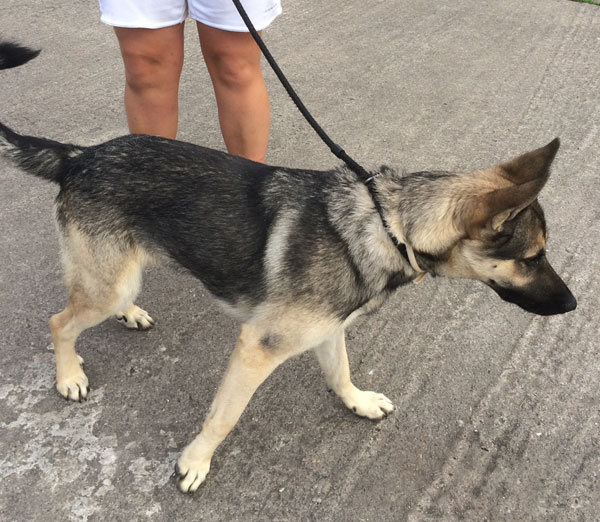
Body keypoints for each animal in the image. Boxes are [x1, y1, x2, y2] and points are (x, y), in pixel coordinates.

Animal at [2, 42, 580, 490]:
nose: (574, 304)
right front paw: (195, 462)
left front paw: (357, 402)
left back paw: (130, 316)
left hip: (120, 275)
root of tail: (79, 155)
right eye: (532, 258)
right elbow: (224, 417)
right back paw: (70, 376)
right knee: (59, 322)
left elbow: (341, 371)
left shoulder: (327, 330)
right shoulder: (257, 350)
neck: (389, 224)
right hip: (107, 285)